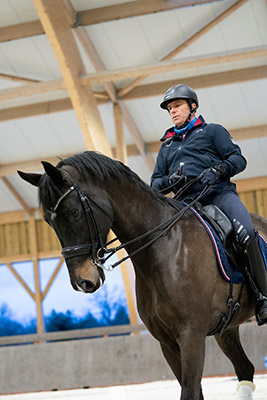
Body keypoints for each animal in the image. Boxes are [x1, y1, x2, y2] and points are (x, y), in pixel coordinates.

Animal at [17, 151, 266, 400]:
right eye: (48, 221)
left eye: (74, 213)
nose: (82, 282)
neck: (165, 248)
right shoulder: (168, 343)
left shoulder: (191, 336)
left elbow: (189, 390)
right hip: (227, 329)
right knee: (245, 368)